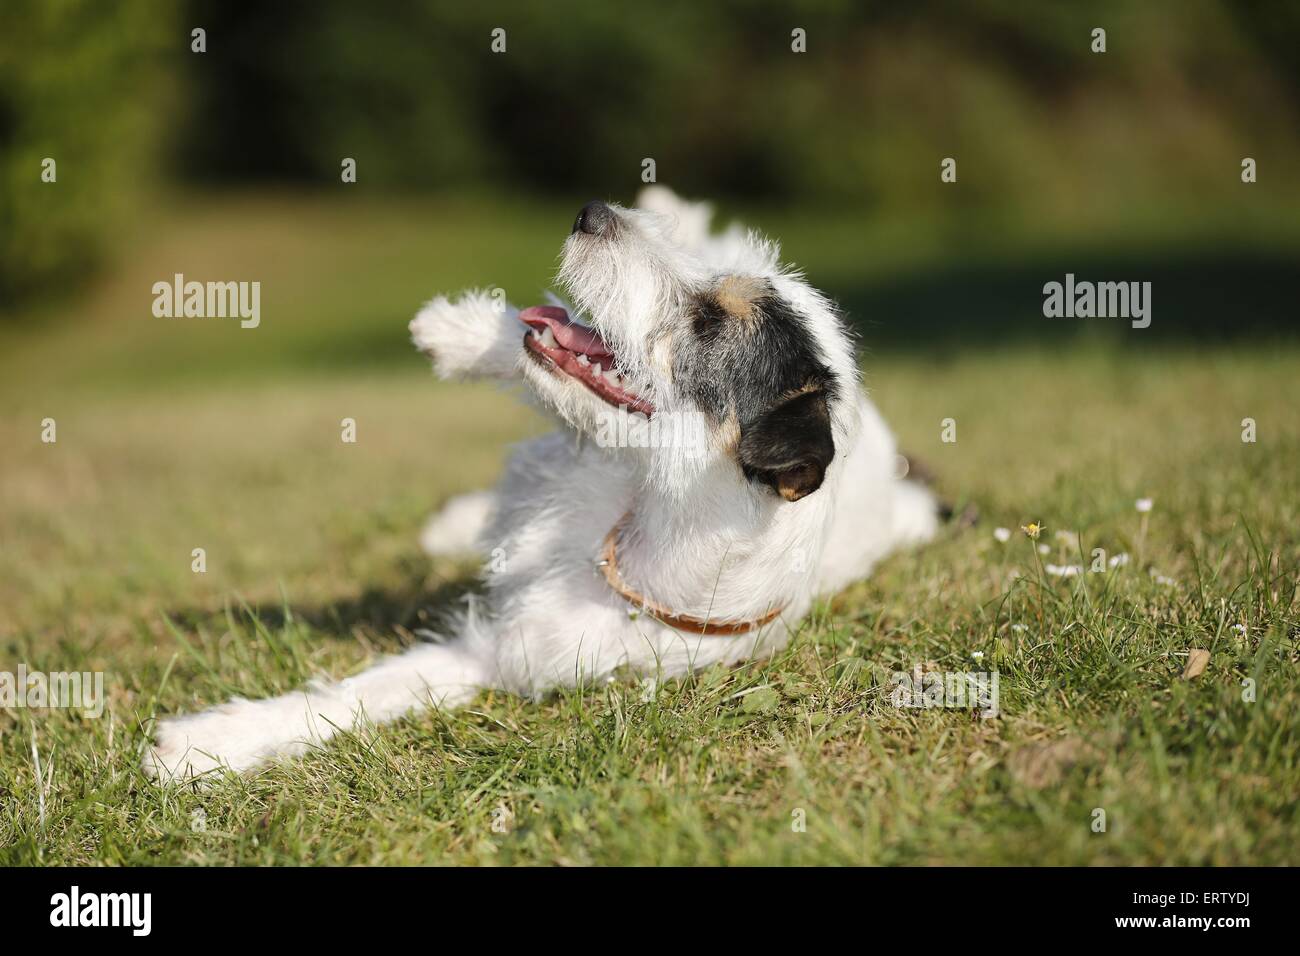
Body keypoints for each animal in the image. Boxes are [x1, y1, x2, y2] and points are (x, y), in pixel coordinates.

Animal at [144, 188, 946, 785]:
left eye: (708, 320)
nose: (591, 210)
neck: (643, 507)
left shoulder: (513, 654)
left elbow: (371, 695)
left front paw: (205, 748)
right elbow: (354, 692)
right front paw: (212, 743)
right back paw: (466, 342)